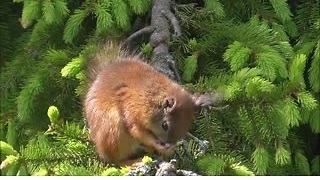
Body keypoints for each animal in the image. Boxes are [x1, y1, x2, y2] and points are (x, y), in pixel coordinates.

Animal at [83, 43, 218, 166]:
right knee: (117, 160)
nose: (167, 143)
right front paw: (160, 147)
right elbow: (138, 132)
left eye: (186, 127)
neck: (151, 97)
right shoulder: (133, 111)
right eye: (164, 125)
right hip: (114, 132)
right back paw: (134, 162)